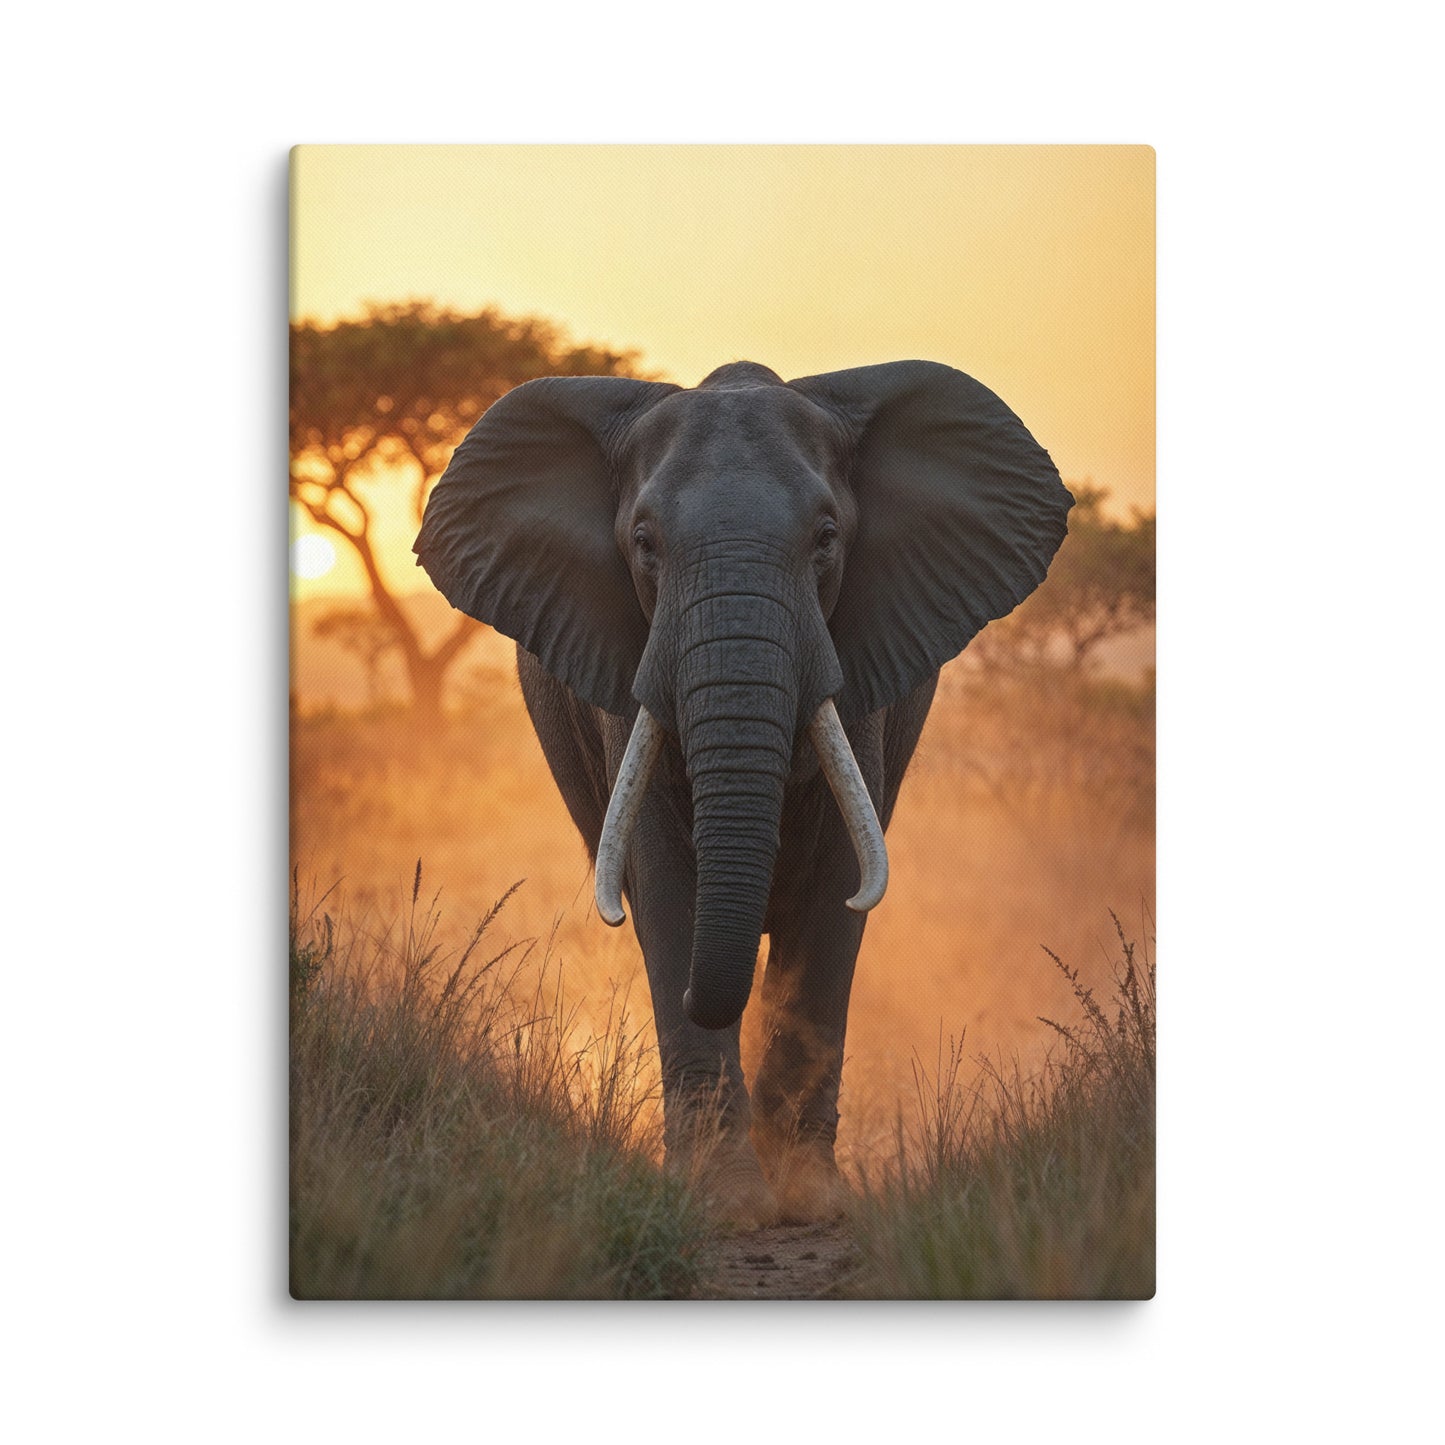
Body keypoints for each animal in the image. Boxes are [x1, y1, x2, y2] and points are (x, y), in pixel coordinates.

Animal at [414, 359, 1072, 1227]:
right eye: (644, 544)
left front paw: (809, 1201)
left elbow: (834, 888)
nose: (705, 993)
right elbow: (665, 882)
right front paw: (724, 1202)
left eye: (825, 539)